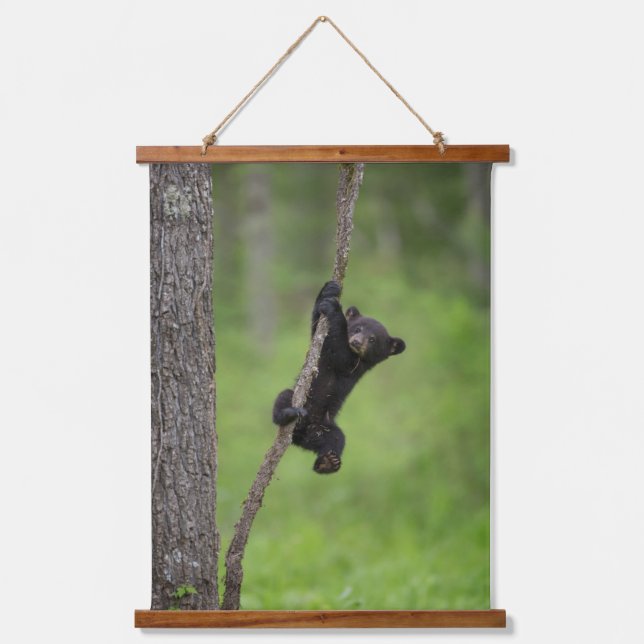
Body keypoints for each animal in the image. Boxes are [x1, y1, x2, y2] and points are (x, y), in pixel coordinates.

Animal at [272, 280, 406, 474]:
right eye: (357, 328)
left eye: (373, 339)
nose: (356, 341)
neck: (356, 354)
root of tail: (301, 436)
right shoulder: (322, 348)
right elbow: (317, 326)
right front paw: (329, 290)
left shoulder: (355, 366)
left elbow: (341, 355)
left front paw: (335, 309)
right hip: (299, 400)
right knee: (283, 398)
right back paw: (289, 413)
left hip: (326, 426)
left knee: (337, 439)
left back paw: (328, 462)